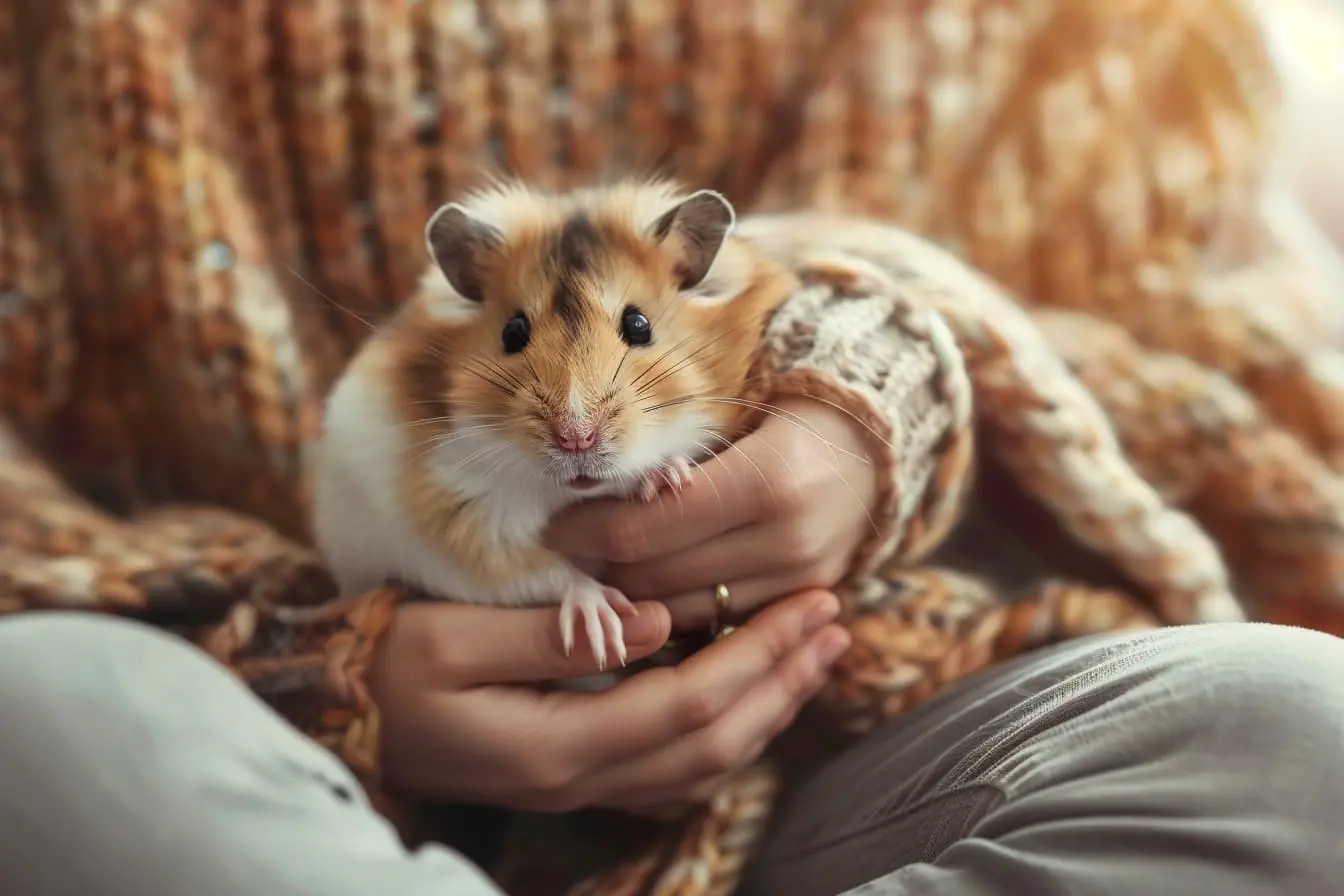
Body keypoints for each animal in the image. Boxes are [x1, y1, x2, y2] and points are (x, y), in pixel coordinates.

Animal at [313, 179, 799, 669]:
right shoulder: (454, 521)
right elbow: (539, 573)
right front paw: (605, 630)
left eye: (638, 325)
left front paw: (666, 478)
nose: (576, 439)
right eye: (512, 332)